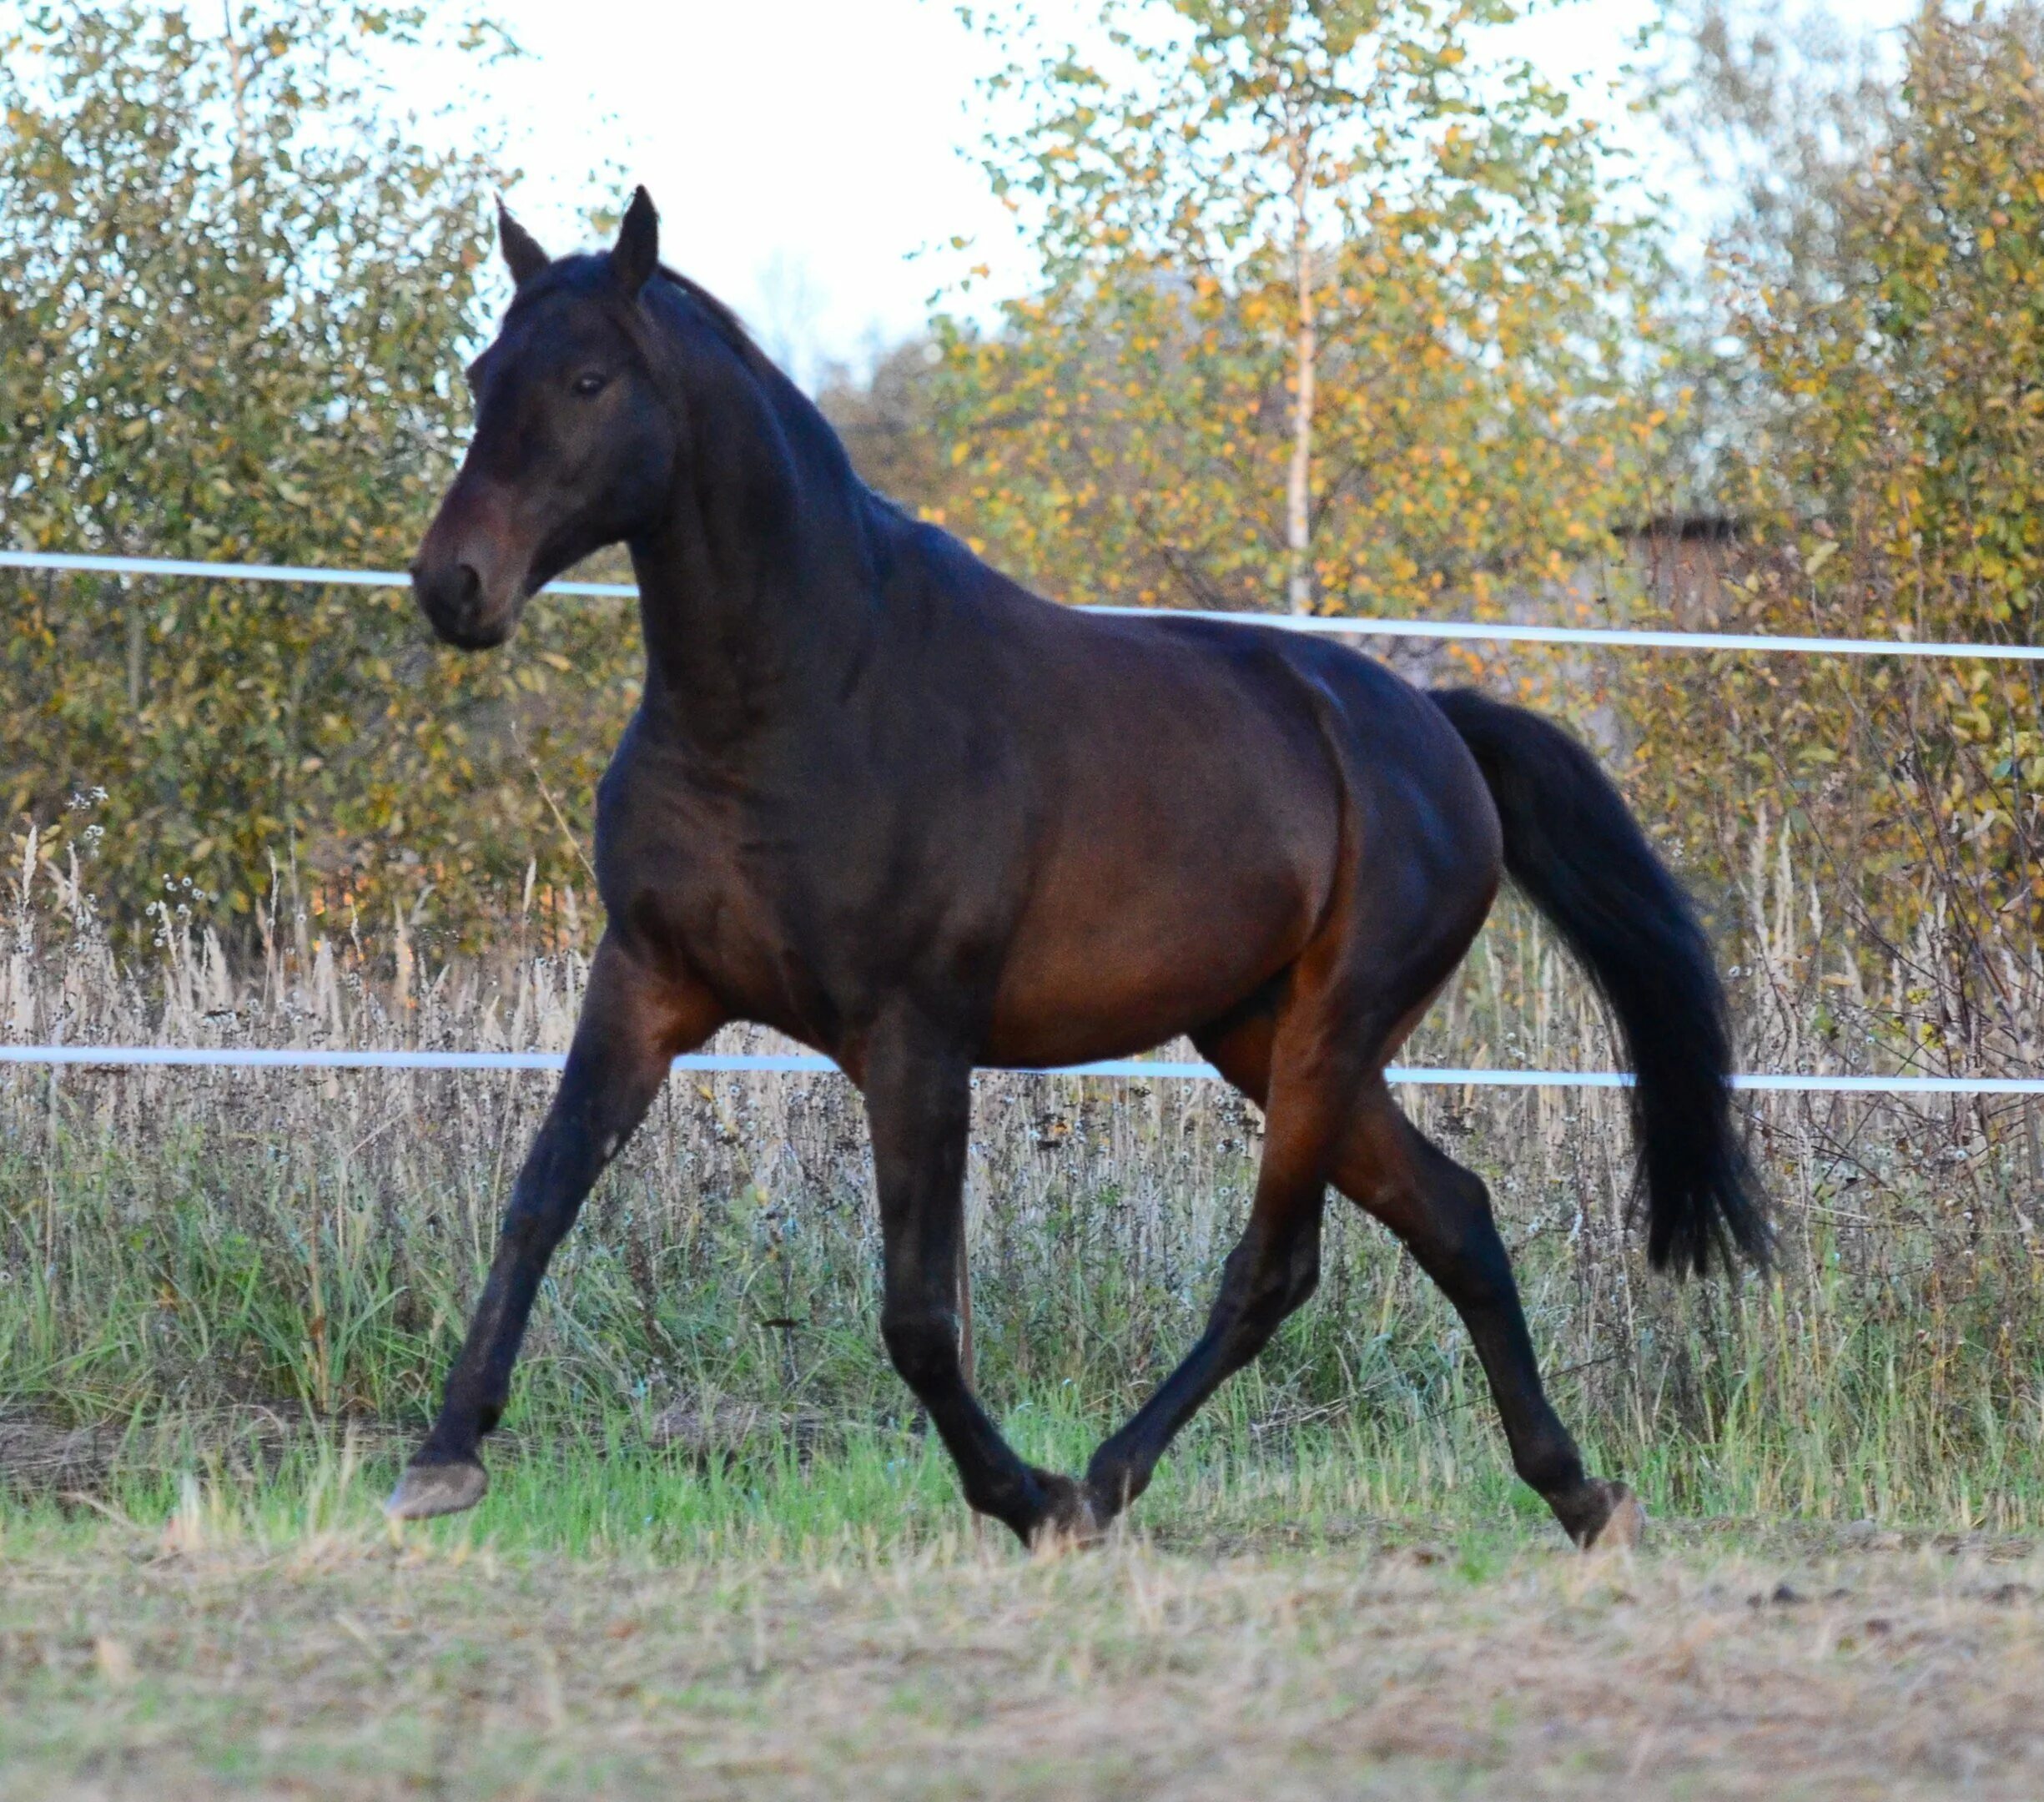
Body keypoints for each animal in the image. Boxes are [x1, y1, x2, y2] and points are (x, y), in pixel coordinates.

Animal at [390, 193, 1765, 1544]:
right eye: (479, 374)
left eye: (586, 379)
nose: (453, 583)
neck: (805, 696)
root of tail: (1436, 730)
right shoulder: (646, 985)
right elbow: (537, 1202)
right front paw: (443, 1458)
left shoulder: (916, 1040)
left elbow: (916, 1316)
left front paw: (1022, 1496)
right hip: (1258, 1033)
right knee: (1456, 1217)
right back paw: (1577, 1493)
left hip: (1330, 1033)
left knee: (1278, 1268)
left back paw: (1102, 1483)